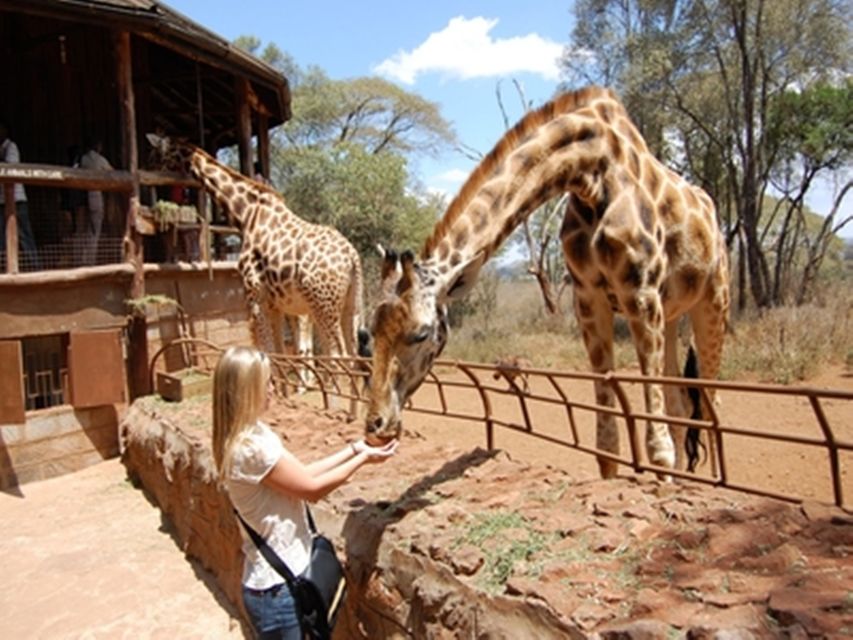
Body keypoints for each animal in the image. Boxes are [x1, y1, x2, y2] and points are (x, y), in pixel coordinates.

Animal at [146, 133, 362, 408]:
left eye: (156, 153)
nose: (150, 177)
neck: (246, 214)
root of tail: (352, 257)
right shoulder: (276, 305)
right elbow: (280, 352)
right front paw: (284, 395)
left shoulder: (254, 297)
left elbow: (268, 352)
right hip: (349, 305)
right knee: (354, 356)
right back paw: (352, 411)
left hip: (323, 306)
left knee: (337, 356)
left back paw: (333, 408)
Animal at [362, 89, 728, 480]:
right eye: (370, 332)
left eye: (420, 334)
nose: (376, 425)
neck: (592, 170)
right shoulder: (589, 297)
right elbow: (607, 445)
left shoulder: (641, 293)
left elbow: (658, 446)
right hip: (671, 312)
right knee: (680, 405)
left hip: (713, 300)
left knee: (711, 403)